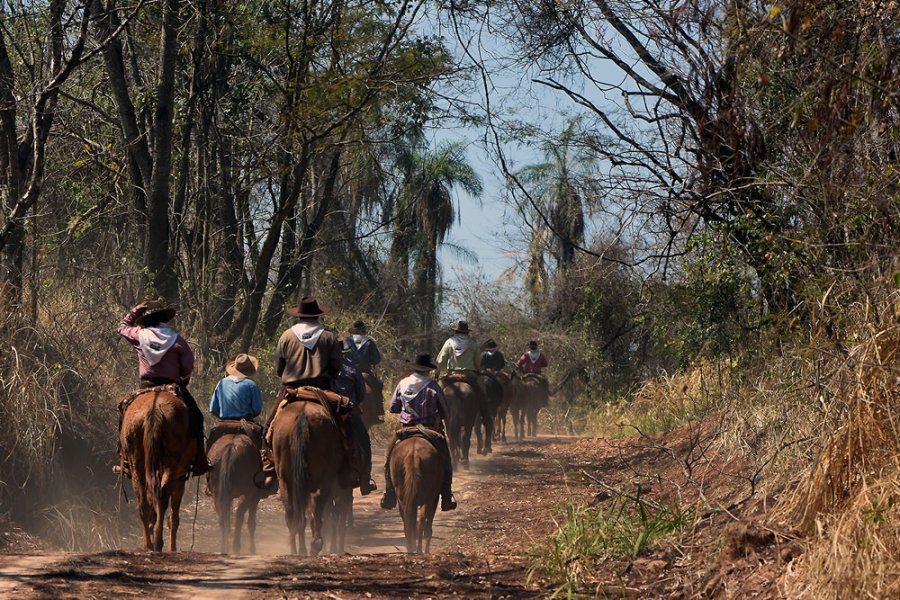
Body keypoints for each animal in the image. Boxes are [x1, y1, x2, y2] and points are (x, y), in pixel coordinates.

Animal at [120, 392, 194, 552]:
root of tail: (153, 410)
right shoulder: (180, 477)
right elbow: (173, 517)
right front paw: (173, 548)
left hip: (137, 460)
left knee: (144, 503)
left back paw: (148, 545)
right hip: (172, 463)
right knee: (162, 497)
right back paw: (158, 542)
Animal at [268, 398, 350, 556]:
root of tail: (303, 415)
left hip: (286, 480)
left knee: (294, 514)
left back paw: (298, 550)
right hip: (322, 480)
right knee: (316, 510)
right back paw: (314, 545)